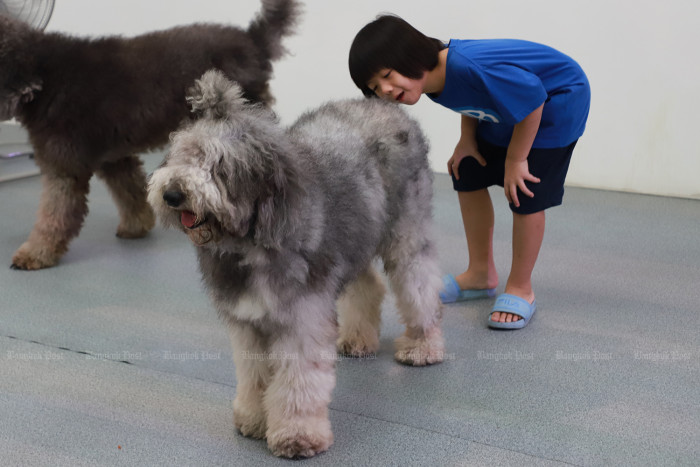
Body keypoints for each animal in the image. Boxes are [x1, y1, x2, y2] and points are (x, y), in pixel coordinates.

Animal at [0, 0, 298, 270]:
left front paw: (37, 252)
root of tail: (252, 40)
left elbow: (53, 215)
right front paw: (137, 225)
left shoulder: (63, 167)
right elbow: (130, 190)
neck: (42, 73)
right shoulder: (114, 157)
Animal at [148, 71, 446, 458]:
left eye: (219, 165)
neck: (250, 241)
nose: (172, 194)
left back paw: (423, 346)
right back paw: (357, 338)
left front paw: (296, 435)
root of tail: (384, 105)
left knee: (420, 283)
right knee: (368, 285)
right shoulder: (248, 323)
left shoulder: (301, 320)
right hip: (353, 239)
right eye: (181, 154)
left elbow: (297, 384)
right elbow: (255, 376)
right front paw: (254, 420)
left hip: (406, 234)